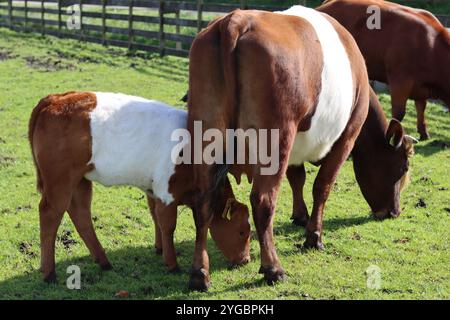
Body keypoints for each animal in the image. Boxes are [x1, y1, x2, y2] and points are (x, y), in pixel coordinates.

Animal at [29, 92, 251, 282]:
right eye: (242, 232)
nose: (246, 260)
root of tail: (55, 98)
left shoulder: (154, 192)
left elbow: (156, 218)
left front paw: (159, 249)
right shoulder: (167, 193)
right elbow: (168, 225)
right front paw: (172, 263)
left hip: (80, 180)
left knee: (81, 214)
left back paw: (104, 261)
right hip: (60, 182)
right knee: (50, 215)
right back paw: (49, 273)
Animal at [185, 6, 412, 290]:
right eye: (403, 167)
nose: (394, 211)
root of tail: (236, 19)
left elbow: (297, 178)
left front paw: (300, 216)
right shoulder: (347, 137)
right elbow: (322, 186)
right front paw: (313, 236)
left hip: (206, 133)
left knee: (203, 200)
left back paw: (199, 273)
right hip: (277, 137)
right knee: (263, 201)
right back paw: (273, 268)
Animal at [316, 0, 450, 140]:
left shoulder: (420, 86)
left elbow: (421, 107)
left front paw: (424, 133)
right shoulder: (400, 80)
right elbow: (399, 113)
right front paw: (390, 135)